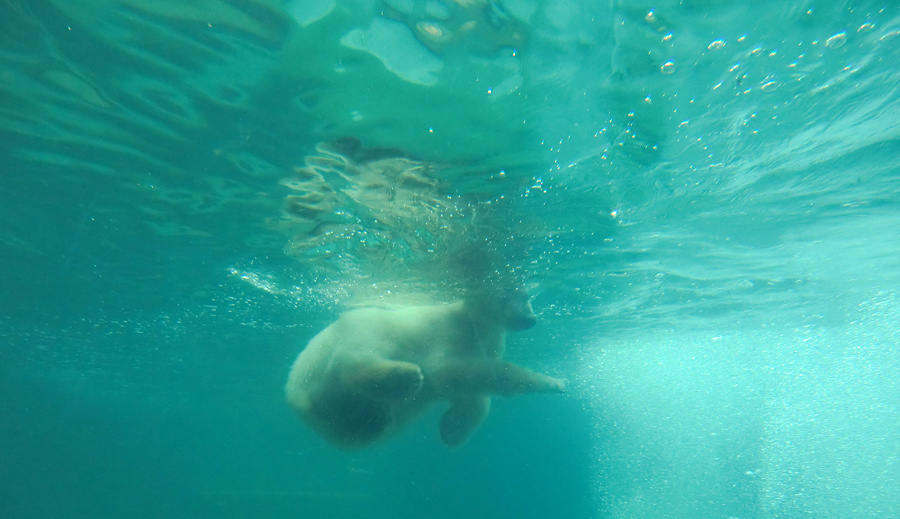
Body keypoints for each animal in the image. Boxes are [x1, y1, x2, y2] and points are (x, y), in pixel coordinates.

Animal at [284, 290, 564, 448]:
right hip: (363, 328)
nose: (530, 319)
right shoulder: (451, 333)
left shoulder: (490, 341)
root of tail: (295, 386)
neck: (472, 320)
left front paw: (453, 430)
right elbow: (449, 371)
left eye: (527, 298)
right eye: (508, 296)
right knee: (355, 358)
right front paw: (553, 382)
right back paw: (404, 377)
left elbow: (473, 393)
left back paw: (374, 418)